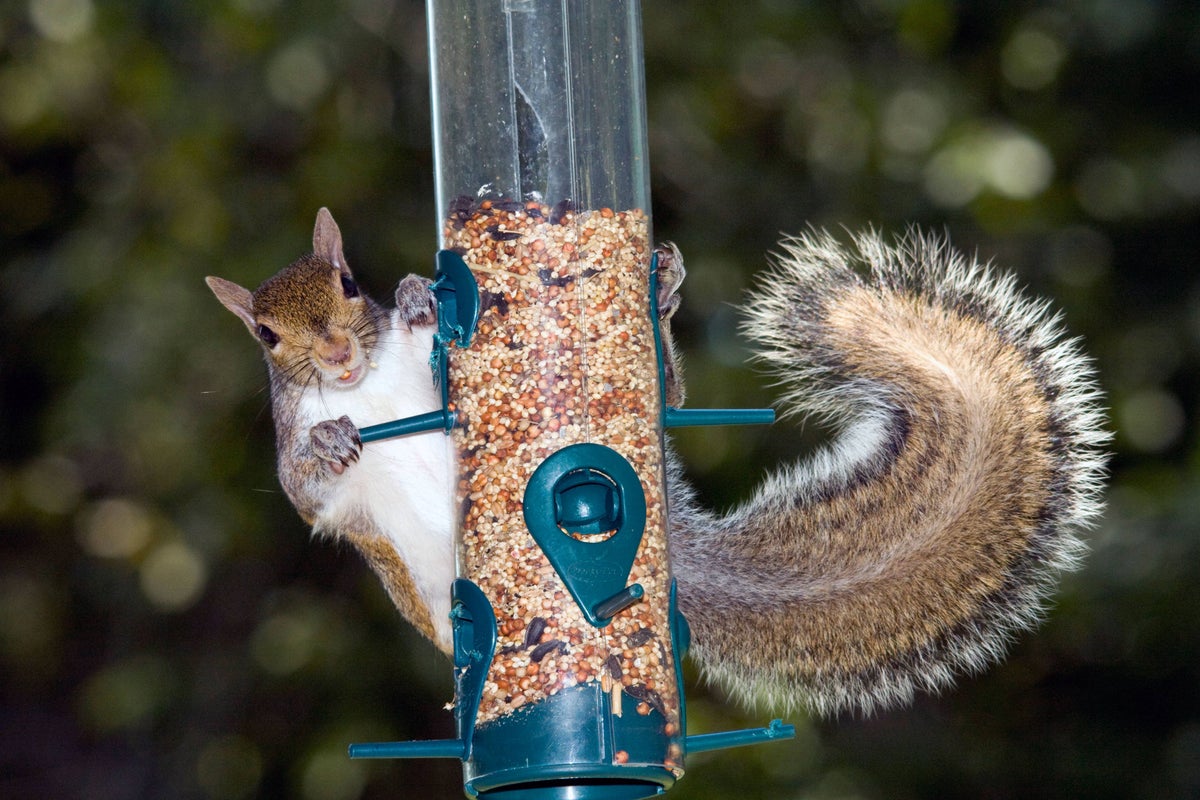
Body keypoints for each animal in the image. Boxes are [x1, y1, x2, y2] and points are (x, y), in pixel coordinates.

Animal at [208, 209, 1107, 716]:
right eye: (266, 336)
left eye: (347, 283)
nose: (334, 353)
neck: (367, 386)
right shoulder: (301, 464)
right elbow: (307, 492)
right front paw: (330, 443)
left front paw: (420, 297)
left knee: (669, 385)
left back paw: (665, 291)